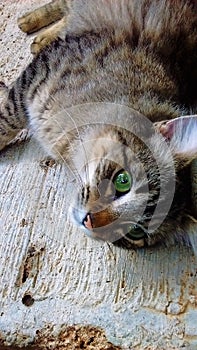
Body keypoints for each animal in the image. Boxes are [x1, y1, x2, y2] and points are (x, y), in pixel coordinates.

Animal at [0, 0, 197, 249]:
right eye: (123, 181)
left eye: (135, 232)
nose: (90, 221)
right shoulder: (41, 72)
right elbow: (6, 120)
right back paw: (32, 29)